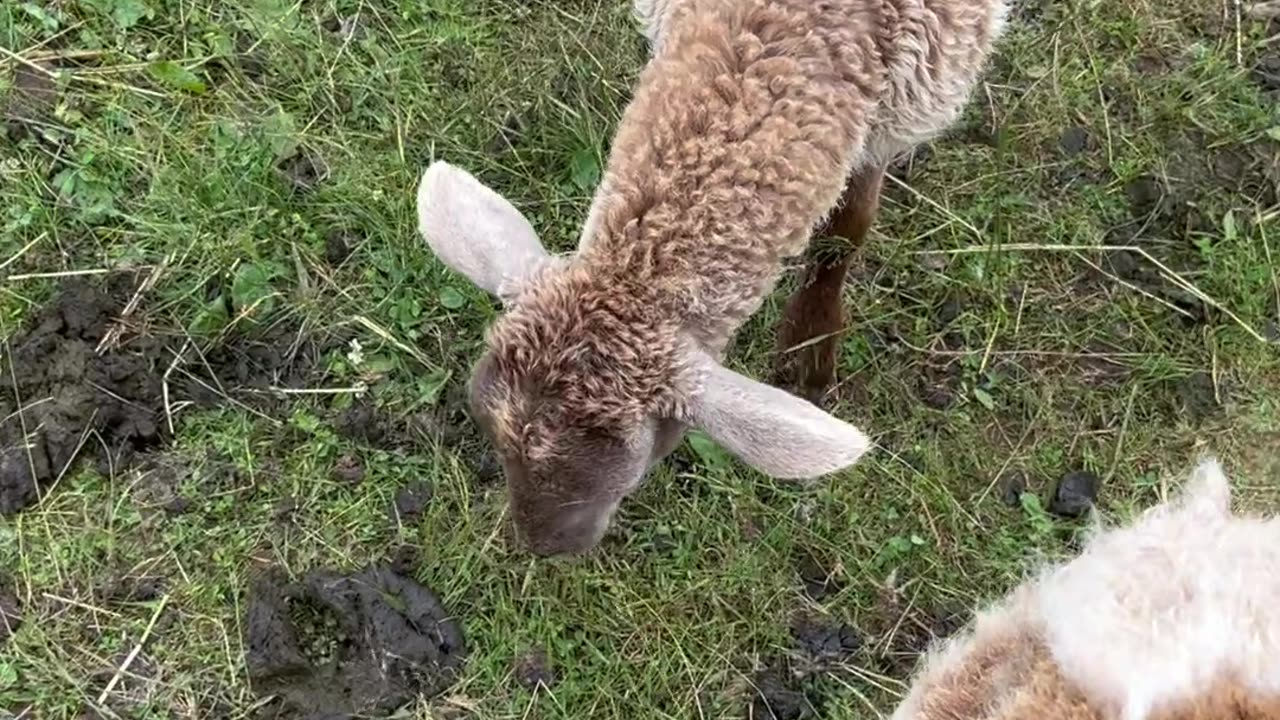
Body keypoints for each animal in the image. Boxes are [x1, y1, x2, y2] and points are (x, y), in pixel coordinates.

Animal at [416, 0, 1007, 555]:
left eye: (638, 466)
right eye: (488, 429)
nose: (545, 548)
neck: (799, 27)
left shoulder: (911, 97)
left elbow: (848, 227)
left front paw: (811, 344)